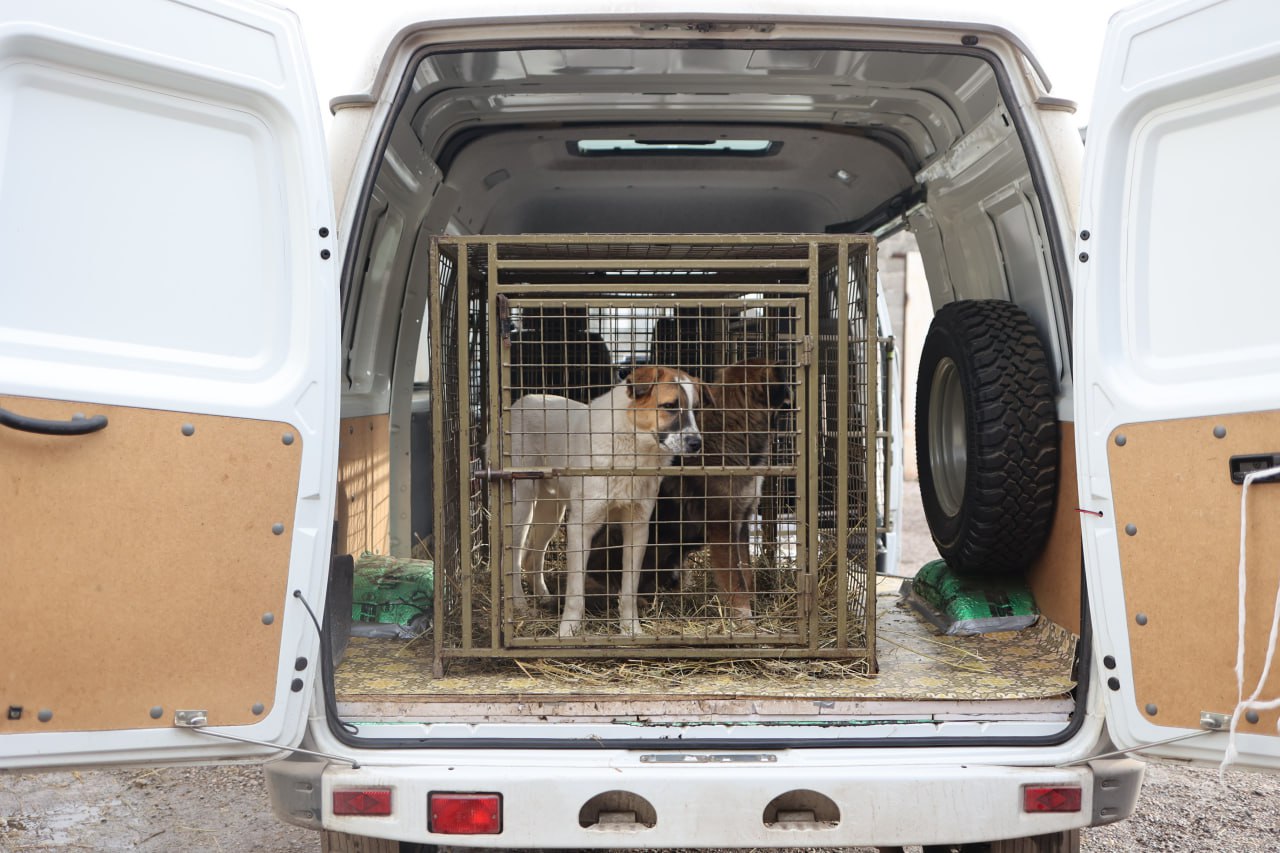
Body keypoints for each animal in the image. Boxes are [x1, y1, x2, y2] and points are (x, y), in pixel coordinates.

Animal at [506, 366, 706, 637]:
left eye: (696, 410)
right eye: (670, 406)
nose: (697, 443)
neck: (632, 447)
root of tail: (520, 402)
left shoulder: (637, 528)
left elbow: (629, 590)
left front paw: (631, 629)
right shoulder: (581, 527)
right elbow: (575, 593)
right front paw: (567, 632)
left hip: (551, 511)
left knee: (531, 557)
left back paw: (544, 597)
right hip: (522, 508)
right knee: (514, 559)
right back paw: (520, 605)